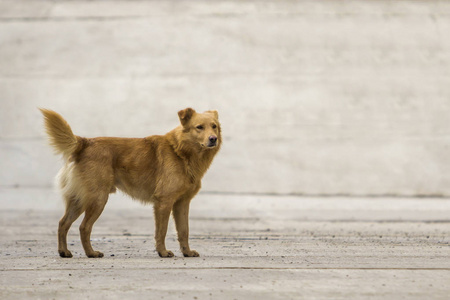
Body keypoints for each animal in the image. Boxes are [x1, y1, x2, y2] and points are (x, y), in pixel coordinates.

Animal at [39, 108, 221, 258]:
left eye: (214, 126)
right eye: (199, 127)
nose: (214, 139)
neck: (180, 151)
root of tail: (84, 142)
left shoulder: (182, 203)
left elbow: (184, 231)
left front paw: (187, 252)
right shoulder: (164, 202)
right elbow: (161, 231)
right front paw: (162, 252)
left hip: (79, 200)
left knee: (63, 223)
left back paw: (64, 252)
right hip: (98, 199)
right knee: (84, 227)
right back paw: (91, 253)